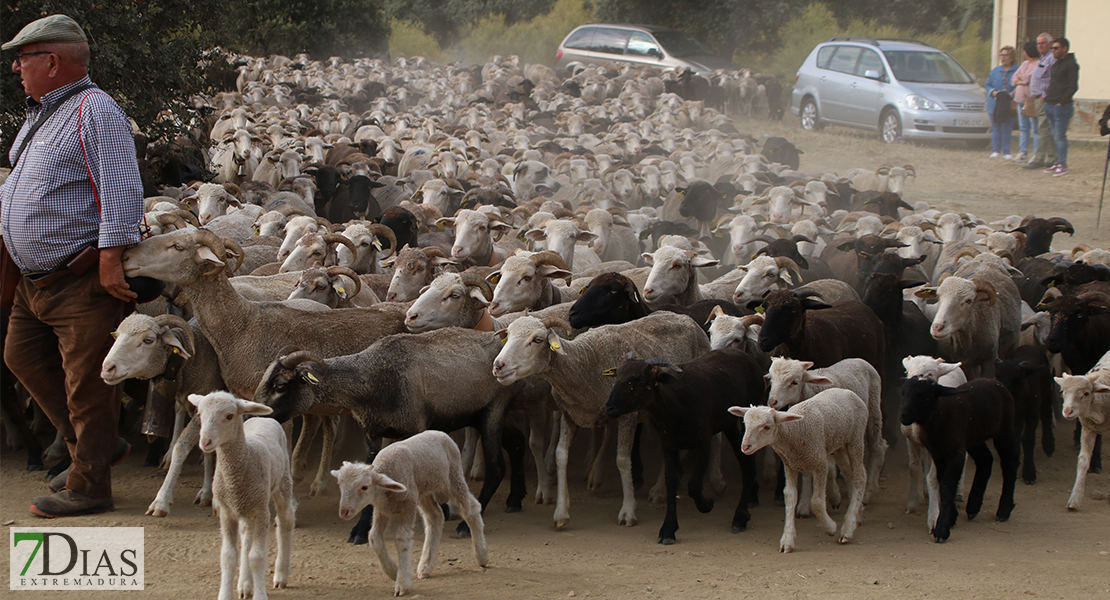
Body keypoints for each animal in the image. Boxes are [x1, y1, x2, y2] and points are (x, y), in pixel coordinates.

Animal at [189, 390, 295, 598]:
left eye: (229, 416)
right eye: (200, 414)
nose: (205, 442)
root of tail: (264, 419)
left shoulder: (262, 511)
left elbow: (257, 557)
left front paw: (260, 595)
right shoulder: (227, 512)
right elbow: (228, 556)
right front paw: (225, 594)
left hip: (282, 483)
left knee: (285, 522)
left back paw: (280, 575)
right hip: (246, 507)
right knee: (247, 534)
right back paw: (244, 584)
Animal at [328, 430, 486, 594]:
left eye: (364, 487)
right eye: (339, 484)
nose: (344, 512)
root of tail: (440, 432)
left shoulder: (408, 504)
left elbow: (402, 538)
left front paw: (402, 581)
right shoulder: (381, 509)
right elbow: (374, 537)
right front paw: (392, 571)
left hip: (452, 478)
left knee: (471, 509)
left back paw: (481, 556)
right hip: (423, 490)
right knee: (435, 516)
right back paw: (425, 566)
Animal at [732, 388, 870, 552]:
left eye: (767, 427)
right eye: (745, 423)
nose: (745, 447)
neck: (795, 432)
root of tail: (846, 391)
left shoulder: (820, 464)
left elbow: (816, 502)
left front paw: (830, 528)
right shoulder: (790, 465)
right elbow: (789, 496)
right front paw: (787, 540)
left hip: (856, 439)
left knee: (860, 478)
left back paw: (847, 529)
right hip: (840, 445)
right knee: (849, 475)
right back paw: (856, 516)